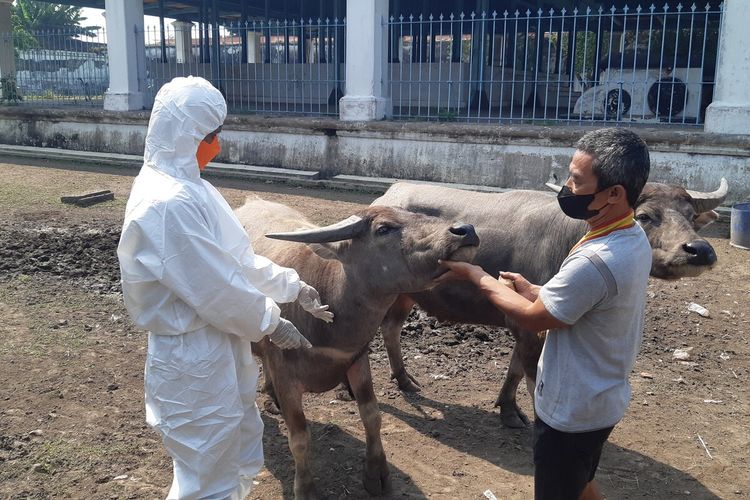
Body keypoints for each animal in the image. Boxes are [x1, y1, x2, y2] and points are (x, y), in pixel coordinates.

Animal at [236, 197, 482, 498]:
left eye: (413, 214)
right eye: (383, 228)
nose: (465, 230)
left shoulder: (357, 359)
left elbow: (372, 415)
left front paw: (376, 473)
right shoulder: (287, 376)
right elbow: (300, 438)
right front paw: (305, 488)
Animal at [374, 178, 728, 428]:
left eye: (690, 216)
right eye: (644, 216)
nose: (699, 249)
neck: (569, 238)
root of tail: (385, 198)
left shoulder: (529, 319)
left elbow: (516, 367)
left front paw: (507, 409)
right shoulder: (527, 326)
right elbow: (530, 374)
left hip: (405, 294)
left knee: (391, 329)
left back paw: (405, 379)